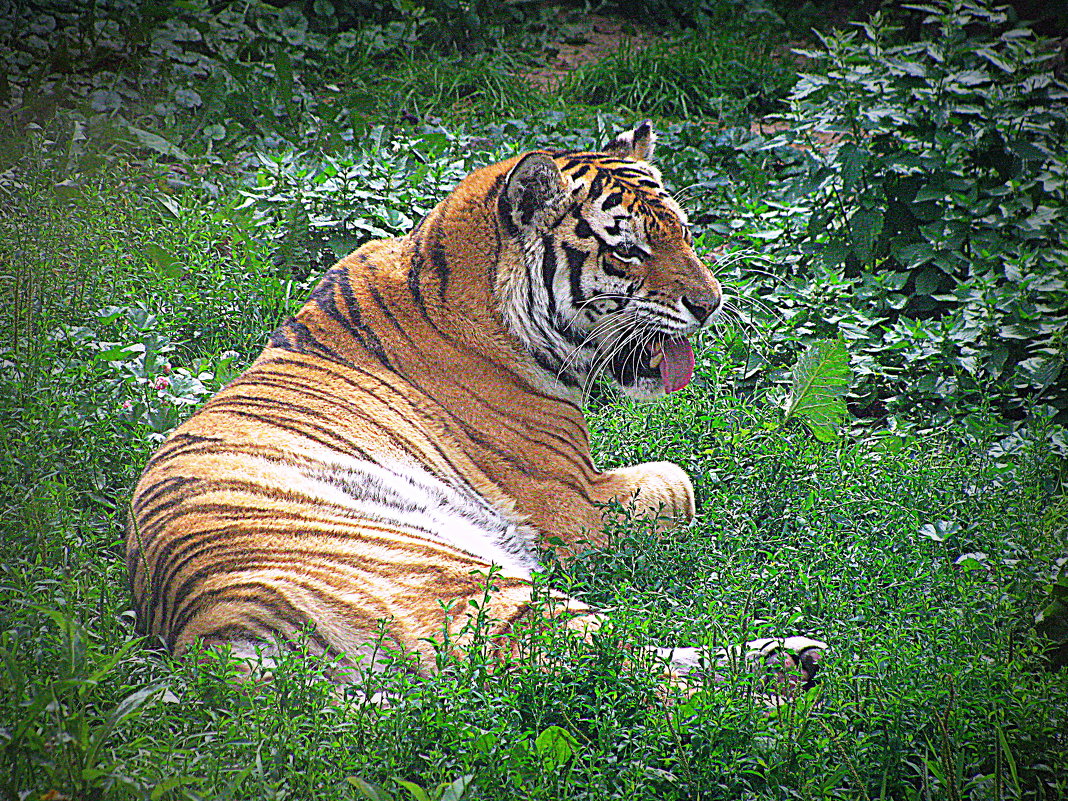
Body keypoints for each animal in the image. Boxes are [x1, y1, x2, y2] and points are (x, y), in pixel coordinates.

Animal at [127, 122, 824, 700]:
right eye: (626, 251)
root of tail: (212, 634)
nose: (711, 304)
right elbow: (680, 483)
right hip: (474, 584)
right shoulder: (579, 507)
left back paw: (796, 658)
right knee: (610, 668)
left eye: (684, 233)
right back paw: (785, 682)